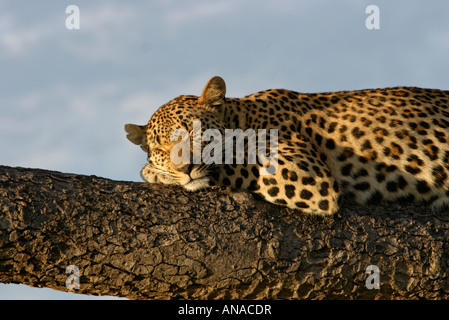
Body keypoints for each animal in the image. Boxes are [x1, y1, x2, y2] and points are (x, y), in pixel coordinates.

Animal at [124, 75, 448, 215]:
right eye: (161, 149)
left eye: (196, 133)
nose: (185, 169)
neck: (243, 115)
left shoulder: (306, 176)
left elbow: (230, 165)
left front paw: (153, 173)